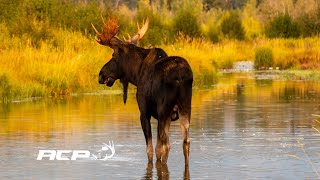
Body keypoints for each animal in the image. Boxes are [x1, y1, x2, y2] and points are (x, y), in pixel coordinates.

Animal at [91, 16, 194, 165]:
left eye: (113, 54)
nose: (101, 75)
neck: (136, 73)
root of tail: (180, 76)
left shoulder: (144, 112)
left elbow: (150, 149)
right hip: (185, 107)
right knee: (185, 142)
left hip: (164, 110)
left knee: (165, 146)